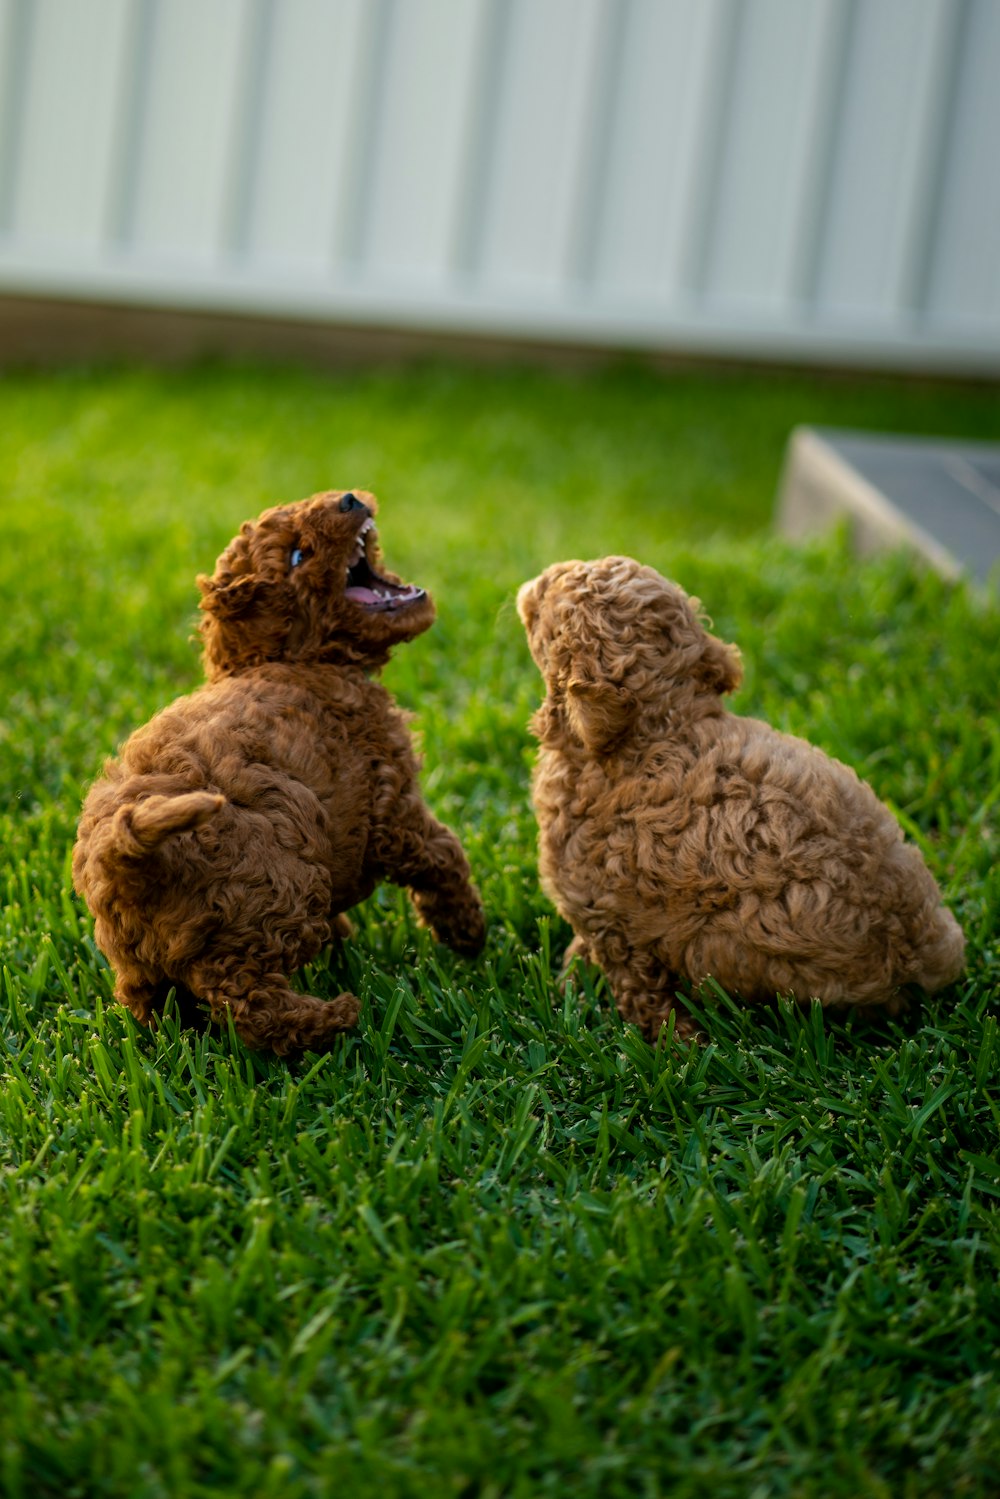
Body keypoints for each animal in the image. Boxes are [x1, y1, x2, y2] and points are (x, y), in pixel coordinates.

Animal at [72, 491, 485, 1055]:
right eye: (296, 556)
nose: (350, 498)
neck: (292, 661)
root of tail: (120, 854)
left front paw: (345, 936)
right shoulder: (390, 801)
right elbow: (442, 855)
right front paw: (470, 933)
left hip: (139, 955)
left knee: (150, 1002)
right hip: (279, 890)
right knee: (245, 999)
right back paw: (332, 1020)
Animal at [515, 557, 959, 1037]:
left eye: (547, 602)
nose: (532, 582)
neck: (664, 730)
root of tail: (920, 968)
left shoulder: (609, 919)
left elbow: (637, 988)